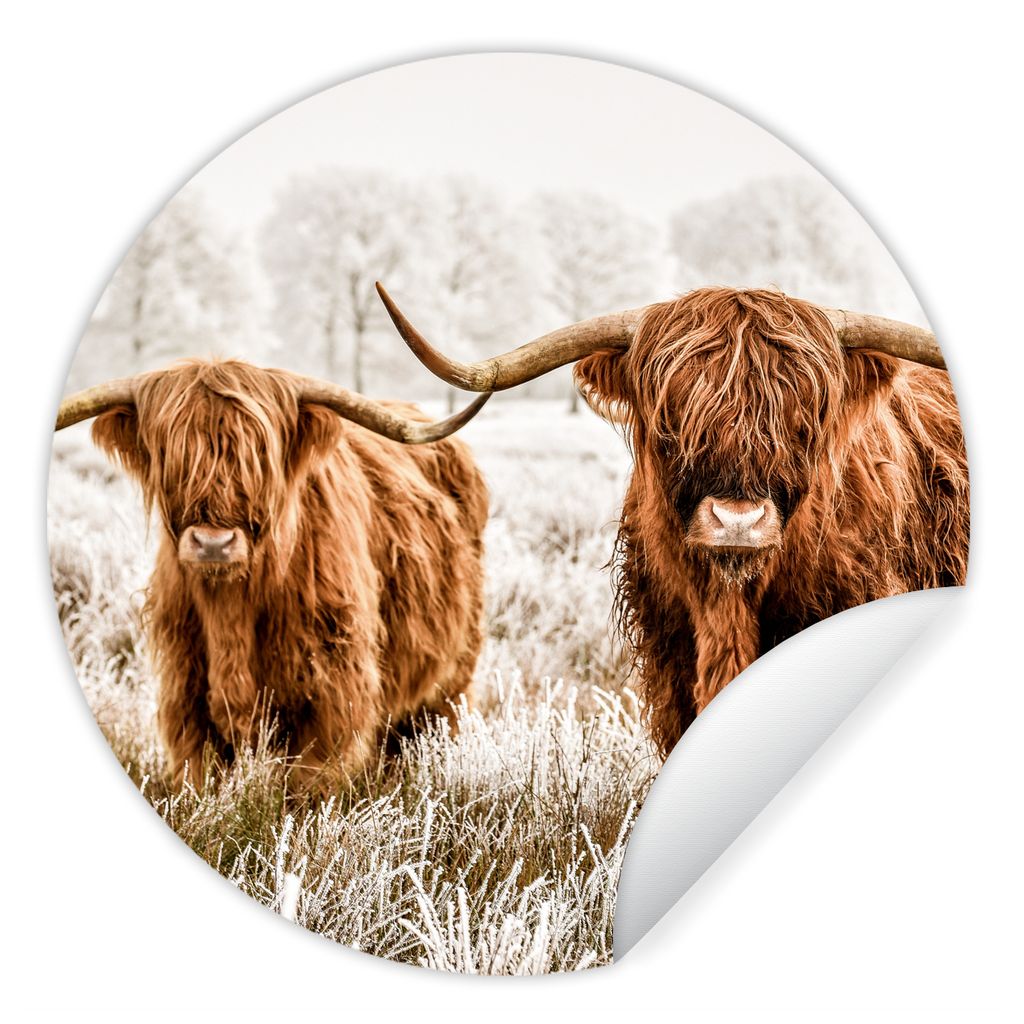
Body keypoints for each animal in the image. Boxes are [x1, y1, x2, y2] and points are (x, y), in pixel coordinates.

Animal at [55, 360, 491, 792]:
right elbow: (200, 776)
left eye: (260, 456)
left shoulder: (332, 693)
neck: (231, 609)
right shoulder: (185, 692)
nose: (213, 544)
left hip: (452, 676)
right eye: (169, 453)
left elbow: (309, 784)